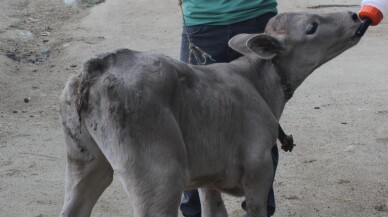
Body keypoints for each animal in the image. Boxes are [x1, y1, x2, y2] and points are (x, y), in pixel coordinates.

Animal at [59, 11, 362, 217]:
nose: (354, 14)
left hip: (85, 162)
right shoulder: (260, 169)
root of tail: (93, 69)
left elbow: (214, 210)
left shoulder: (208, 177)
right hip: (159, 177)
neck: (259, 82)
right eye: (312, 26)